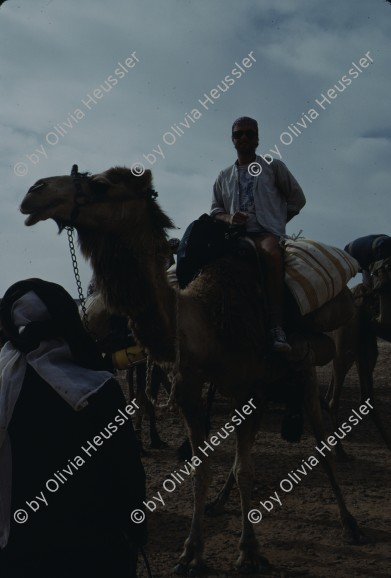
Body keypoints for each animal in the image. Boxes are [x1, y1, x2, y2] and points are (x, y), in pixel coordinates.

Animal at [19, 165, 366, 572]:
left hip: (304, 367)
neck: (203, 319)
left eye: (101, 184)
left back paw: (349, 523)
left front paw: (248, 550)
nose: (34, 191)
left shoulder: (251, 388)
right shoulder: (189, 385)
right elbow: (203, 467)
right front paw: (191, 552)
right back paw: (219, 502)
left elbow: (246, 469)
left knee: (319, 437)